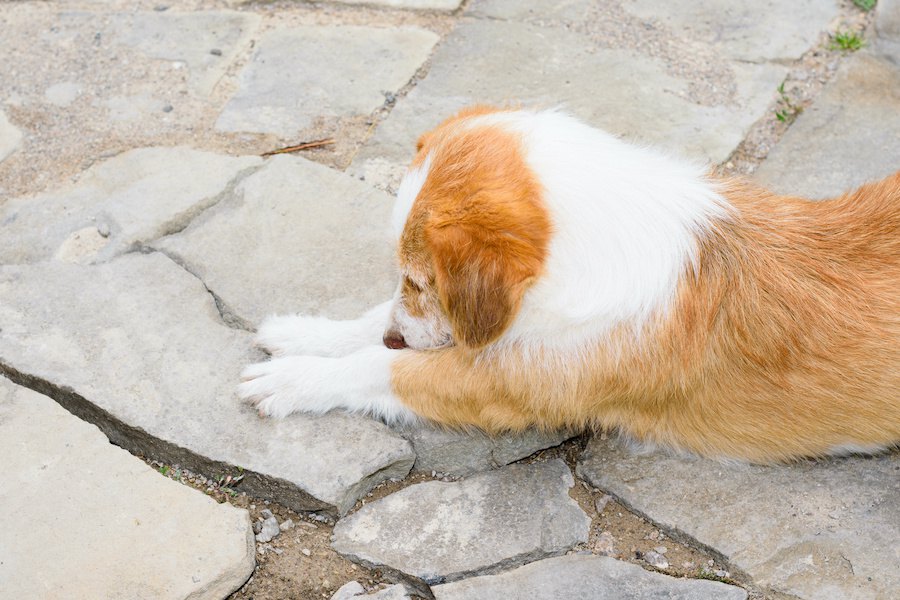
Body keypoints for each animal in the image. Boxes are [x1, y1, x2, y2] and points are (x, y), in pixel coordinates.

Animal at [239, 105, 900, 462]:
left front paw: (295, 379)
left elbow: (381, 368)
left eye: (424, 281)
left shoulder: (508, 386)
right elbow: (370, 323)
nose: (400, 337)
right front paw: (307, 333)